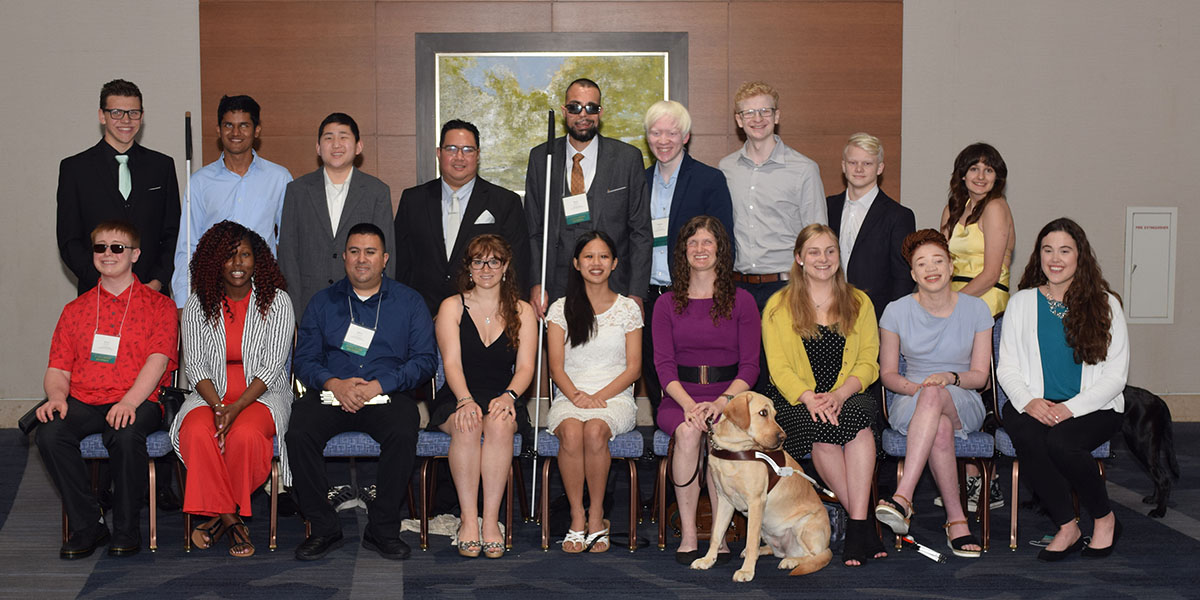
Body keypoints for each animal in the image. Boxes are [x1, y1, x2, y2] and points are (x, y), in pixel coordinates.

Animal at [691, 391, 830, 583]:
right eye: (763, 413)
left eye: (775, 414)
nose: (783, 438)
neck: (733, 451)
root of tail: (828, 546)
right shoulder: (725, 501)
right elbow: (716, 535)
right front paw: (707, 560)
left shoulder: (756, 502)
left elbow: (750, 541)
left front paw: (746, 571)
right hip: (767, 528)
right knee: (778, 551)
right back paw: (766, 551)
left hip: (803, 525)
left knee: (812, 556)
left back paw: (791, 561)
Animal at [1123, 386, 1180, 518]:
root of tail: (1158, 400)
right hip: (1151, 449)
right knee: (1157, 476)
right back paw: (1154, 499)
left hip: (1141, 446)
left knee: (1163, 479)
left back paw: (1160, 511)